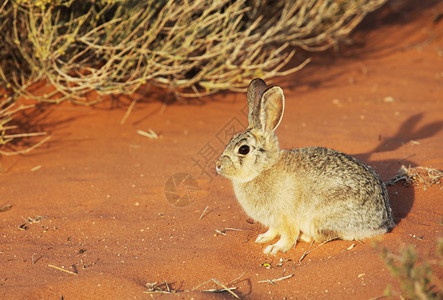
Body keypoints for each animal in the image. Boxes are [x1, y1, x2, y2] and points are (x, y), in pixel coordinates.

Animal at [215, 77, 396, 253]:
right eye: (231, 139)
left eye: (243, 149)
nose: (218, 166)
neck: (263, 168)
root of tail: (382, 222)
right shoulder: (273, 221)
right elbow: (272, 231)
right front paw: (263, 238)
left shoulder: (285, 217)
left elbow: (288, 235)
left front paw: (275, 248)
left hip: (321, 218)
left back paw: (304, 237)